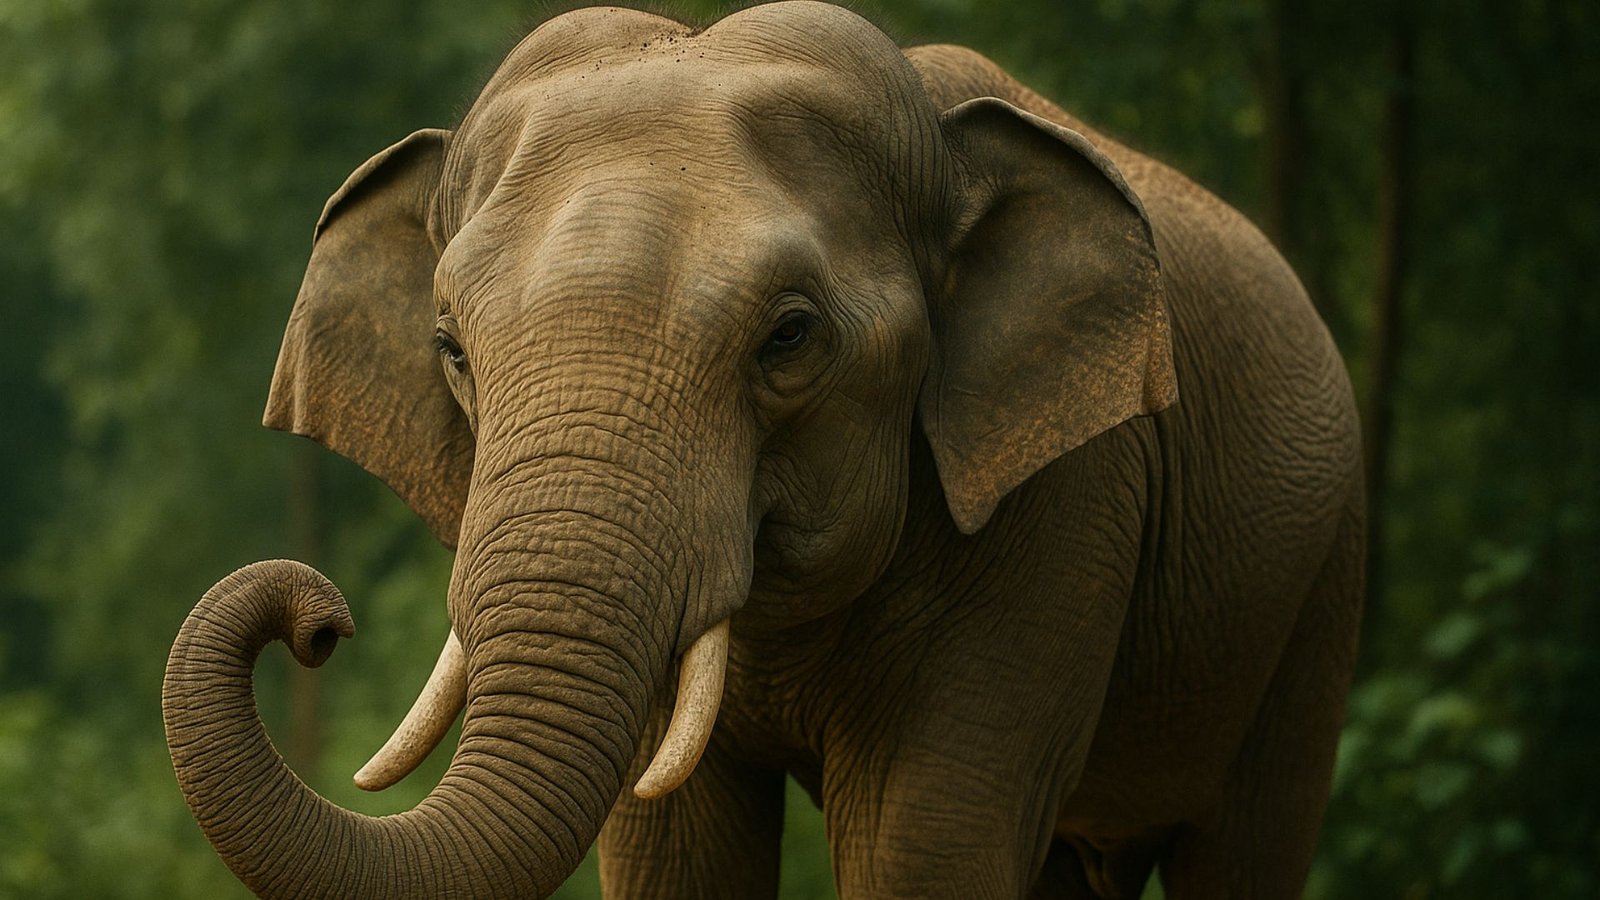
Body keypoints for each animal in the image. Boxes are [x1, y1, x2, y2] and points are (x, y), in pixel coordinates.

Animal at [161, 3, 1364, 898]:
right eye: (450, 347)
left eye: (790, 337)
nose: (316, 620)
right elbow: (670, 850)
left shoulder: (1067, 493)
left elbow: (927, 843)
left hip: (1317, 585)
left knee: (1246, 851)